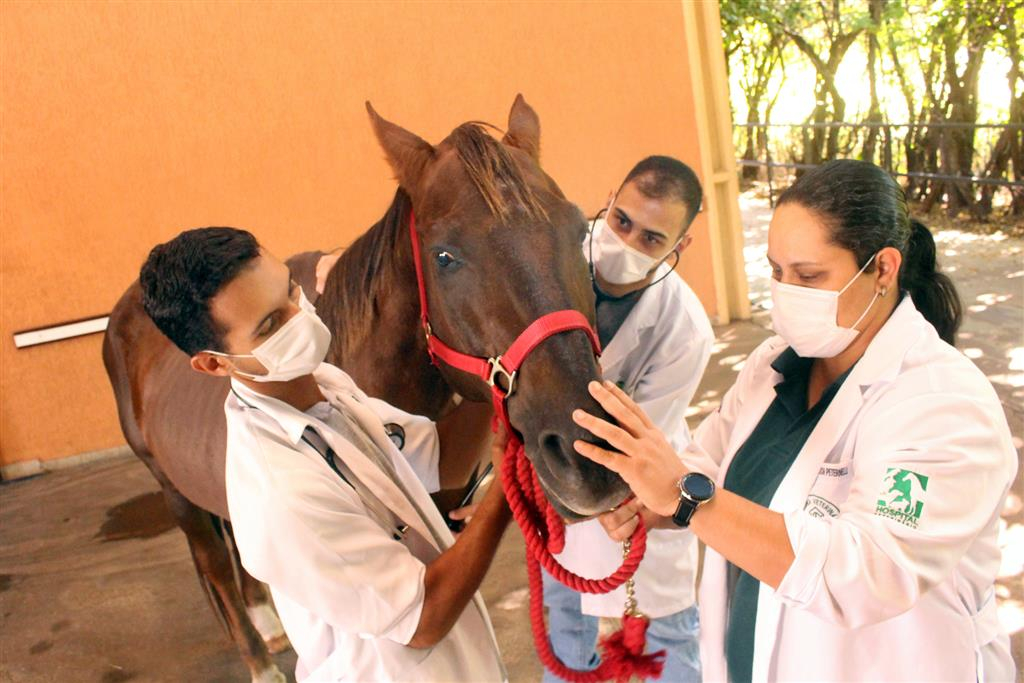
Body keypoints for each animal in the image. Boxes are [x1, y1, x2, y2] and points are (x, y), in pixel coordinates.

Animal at [101, 97, 622, 683]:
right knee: (213, 564)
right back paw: (260, 660)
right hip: (173, 490)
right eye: (444, 257)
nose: (588, 453)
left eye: (579, 231)